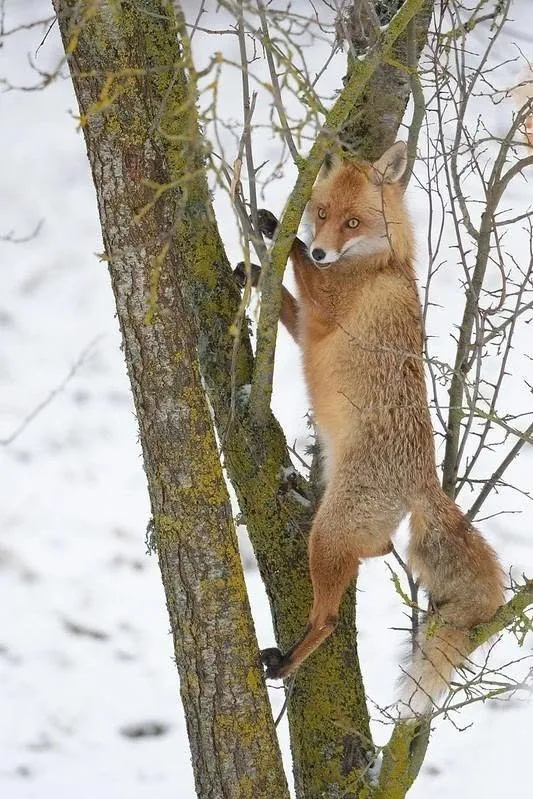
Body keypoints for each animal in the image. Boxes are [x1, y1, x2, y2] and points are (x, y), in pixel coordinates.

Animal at [234, 141, 505, 716]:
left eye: (353, 223)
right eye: (322, 214)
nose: (322, 252)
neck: (380, 263)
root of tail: (425, 480)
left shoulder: (326, 303)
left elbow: (296, 269)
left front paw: (274, 230)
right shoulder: (308, 325)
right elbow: (285, 299)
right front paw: (252, 269)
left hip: (329, 535)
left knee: (329, 620)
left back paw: (287, 662)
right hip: (345, 531)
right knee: (377, 552)